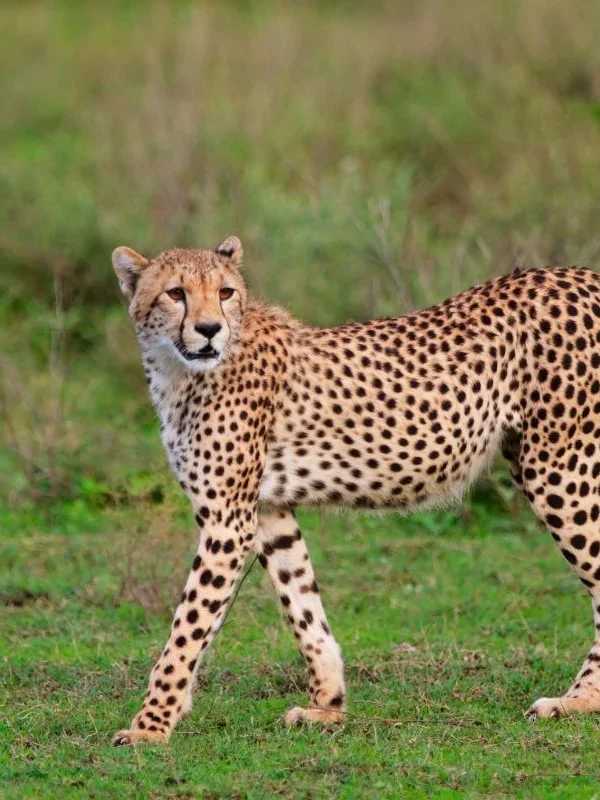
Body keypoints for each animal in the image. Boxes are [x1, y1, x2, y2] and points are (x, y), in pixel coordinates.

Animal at [110, 235, 600, 745]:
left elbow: (187, 628)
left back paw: (577, 701)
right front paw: (327, 706)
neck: (178, 370)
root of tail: (581, 275)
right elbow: (303, 607)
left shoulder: (228, 521)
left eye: (225, 292)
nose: (208, 330)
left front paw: (150, 725)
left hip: (559, 468)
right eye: (176, 293)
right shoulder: (268, 512)